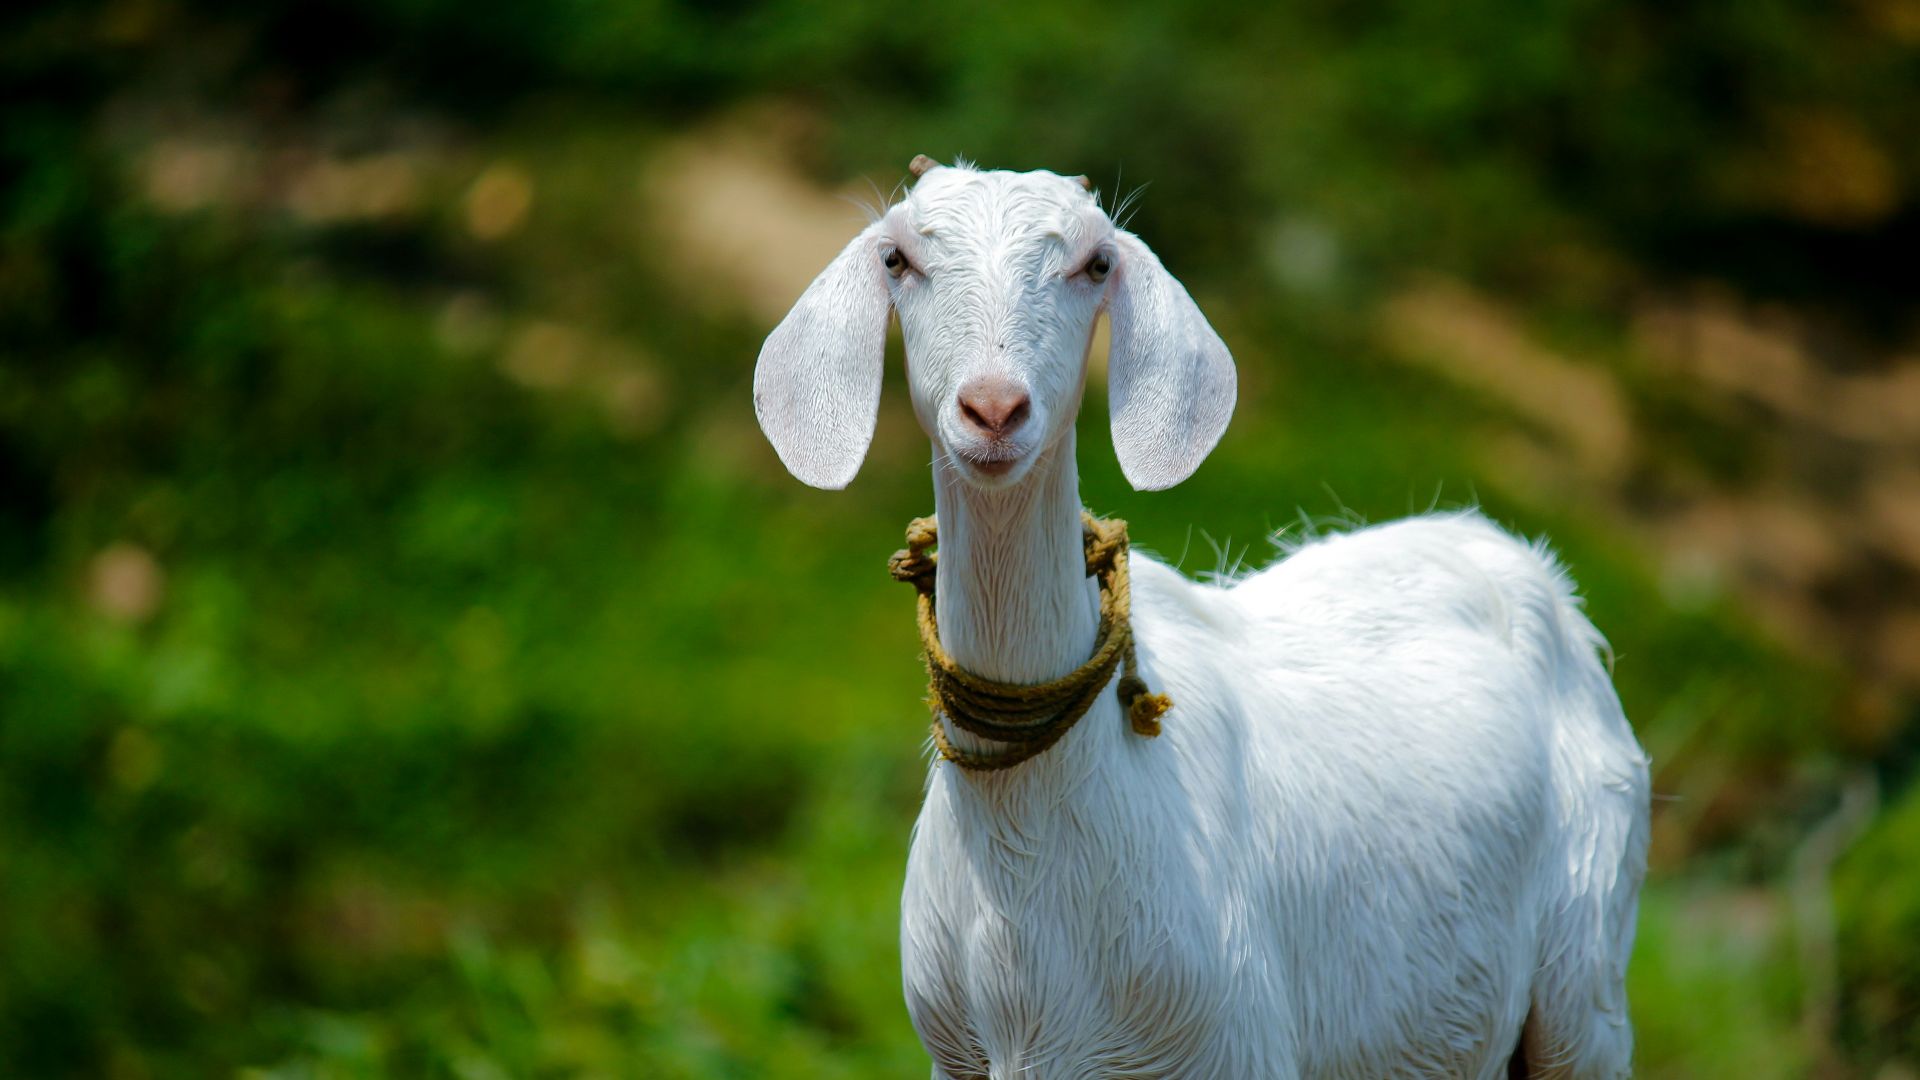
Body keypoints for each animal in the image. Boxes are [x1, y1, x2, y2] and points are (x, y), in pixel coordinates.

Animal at [752, 157, 1650, 1079]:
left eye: (1095, 263)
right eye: (897, 258)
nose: (994, 411)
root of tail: (1516, 556)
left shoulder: (1237, 1045)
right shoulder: (958, 1054)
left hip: (1589, 971)